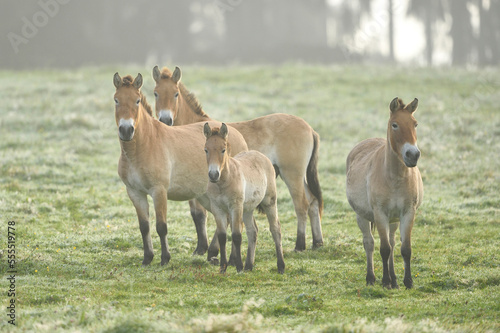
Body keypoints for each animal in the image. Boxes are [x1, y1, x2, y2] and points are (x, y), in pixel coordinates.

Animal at [112, 72, 247, 264]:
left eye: (137, 101)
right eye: (116, 100)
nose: (126, 130)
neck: (142, 146)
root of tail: (236, 134)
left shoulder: (159, 191)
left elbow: (161, 226)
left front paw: (165, 258)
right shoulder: (135, 193)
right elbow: (144, 226)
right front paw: (147, 258)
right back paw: (213, 253)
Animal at [152, 65, 324, 253]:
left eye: (175, 94)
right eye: (156, 93)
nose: (165, 119)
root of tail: (310, 129)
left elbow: (202, 214)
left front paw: (205, 249)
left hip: (292, 175)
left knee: (301, 205)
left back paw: (300, 245)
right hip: (299, 176)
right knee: (313, 201)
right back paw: (317, 242)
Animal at [201, 122, 284, 272]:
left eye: (223, 150)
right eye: (206, 150)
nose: (213, 175)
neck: (223, 183)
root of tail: (260, 155)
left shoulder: (235, 207)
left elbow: (236, 235)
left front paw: (238, 266)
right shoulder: (217, 209)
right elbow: (222, 236)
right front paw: (223, 267)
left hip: (269, 201)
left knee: (275, 228)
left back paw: (280, 266)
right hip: (248, 208)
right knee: (252, 231)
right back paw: (249, 266)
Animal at [346, 96, 424, 288]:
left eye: (415, 124)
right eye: (395, 125)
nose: (413, 155)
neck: (395, 177)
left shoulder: (408, 212)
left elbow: (405, 249)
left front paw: (407, 282)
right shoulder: (380, 214)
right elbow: (384, 249)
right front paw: (385, 281)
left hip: (393, 220)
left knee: (393, 242)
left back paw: (395, 280)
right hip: (362, 216)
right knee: (370, 243)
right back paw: (371, 278)